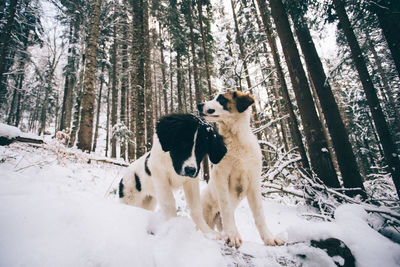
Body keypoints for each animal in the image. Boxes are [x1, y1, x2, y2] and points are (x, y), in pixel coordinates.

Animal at [197, 91, 284, 249]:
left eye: (222, 99)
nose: (199, 105)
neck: (236, 139)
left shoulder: (254, 182)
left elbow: (259, 214)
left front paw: (269, 238)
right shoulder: (222, 177)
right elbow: (226, 208)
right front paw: (233, 235)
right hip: (207, 216)